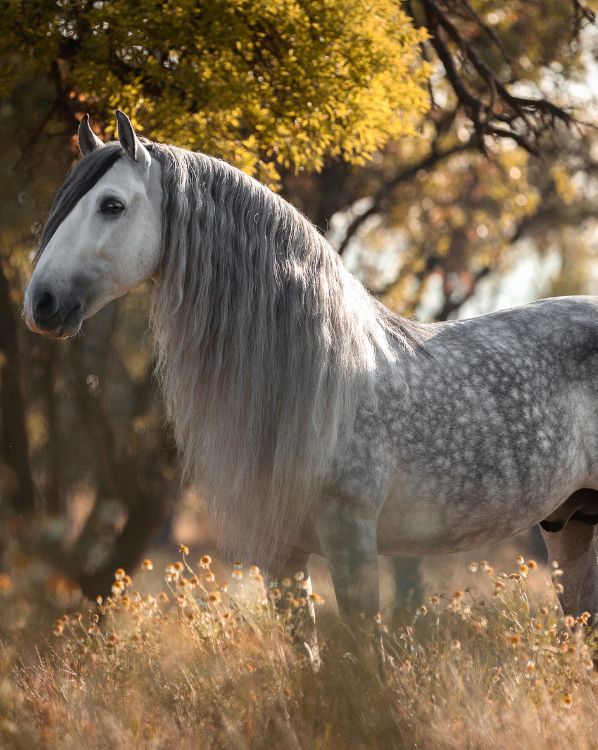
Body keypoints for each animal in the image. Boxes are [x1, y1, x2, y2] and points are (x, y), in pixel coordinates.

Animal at [24, 111, 598, 655]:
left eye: (112, 205)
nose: (40, 303)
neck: (321, 381)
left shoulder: (352, 540)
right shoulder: (282, 554)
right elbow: (308, 659)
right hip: (571, 524)